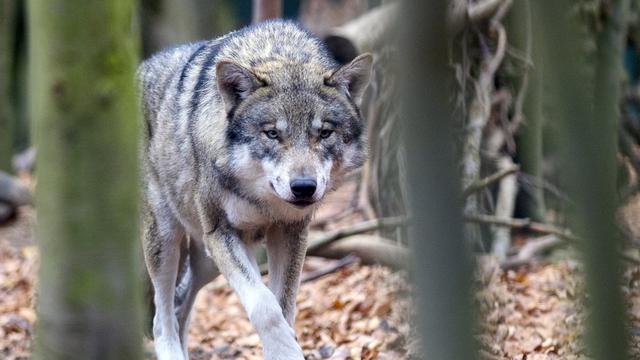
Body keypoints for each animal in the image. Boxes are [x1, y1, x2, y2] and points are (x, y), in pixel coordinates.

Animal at [138, 20, 372, 360]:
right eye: (272, 133)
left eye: (324, 133)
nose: (304, 188)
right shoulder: (221, 232)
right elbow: (265, 306)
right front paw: (286, 351)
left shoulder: (290, 232)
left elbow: (283, 305)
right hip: (168, 240)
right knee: (161, 317)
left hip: (206, 260)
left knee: (181, 306)